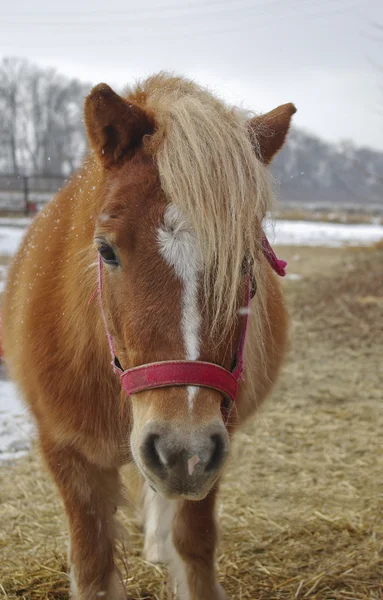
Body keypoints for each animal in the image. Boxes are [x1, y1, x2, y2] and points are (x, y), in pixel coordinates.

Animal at [3, 75, 296, 600]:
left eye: (245, 260)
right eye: (106, 250)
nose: (182, 451)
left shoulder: (214, 443)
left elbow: (194, 545)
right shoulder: (65, 453)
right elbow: (93, 565)